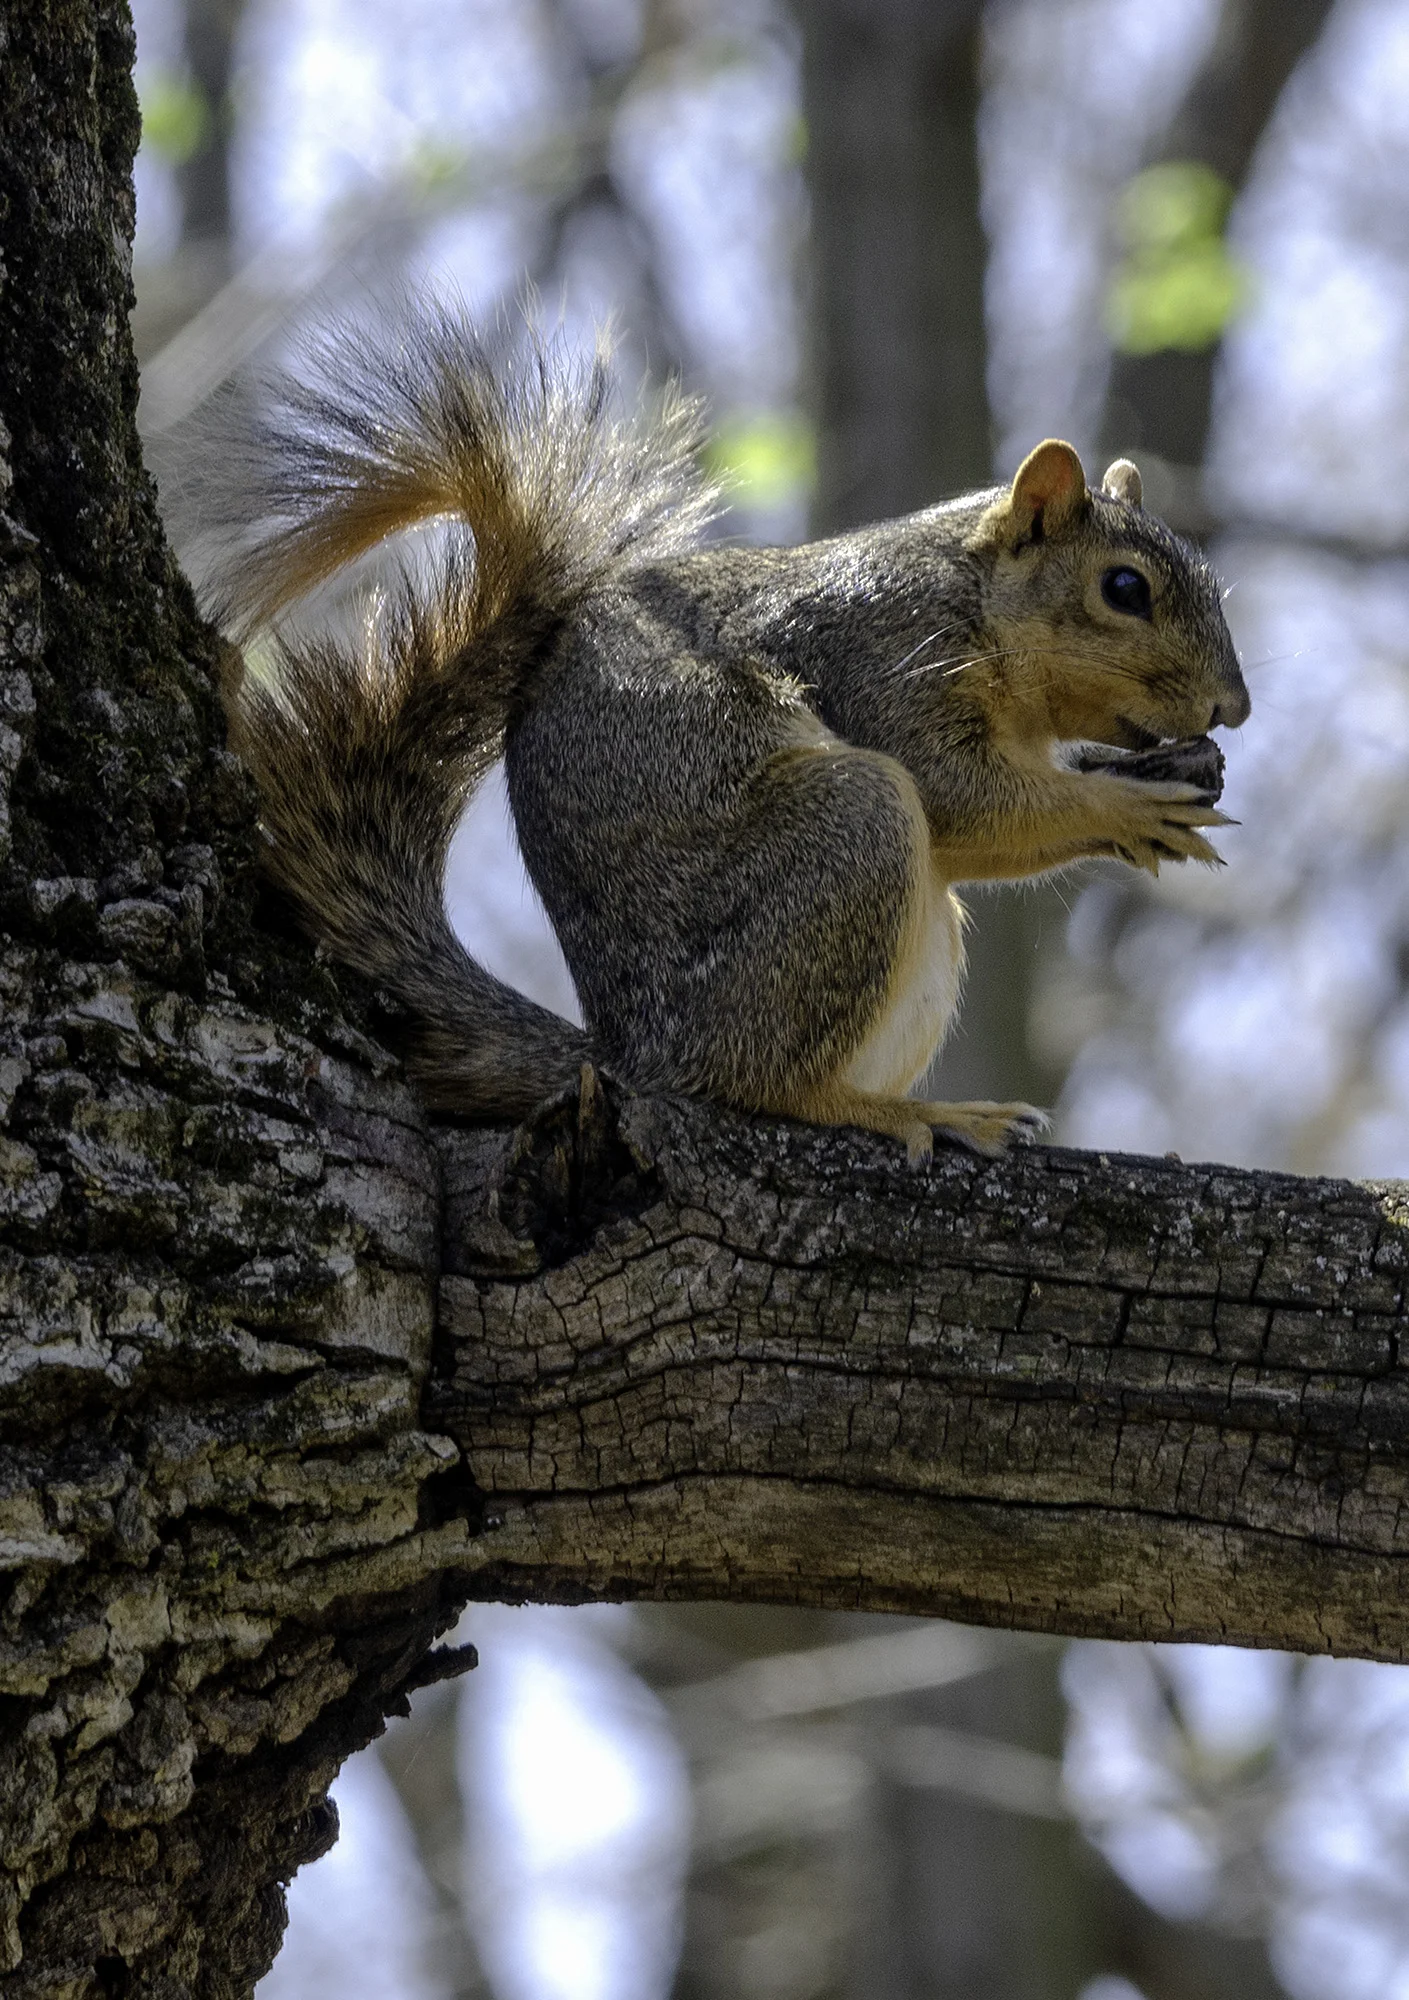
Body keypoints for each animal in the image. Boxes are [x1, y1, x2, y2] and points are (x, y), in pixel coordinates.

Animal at [205, 303, 1249, 1162]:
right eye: (1124, 589)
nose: (1231, 708)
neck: (969, 597)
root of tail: (632, 1062)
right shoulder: (882, 666)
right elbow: (959, 802)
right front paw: (1129, 807)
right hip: (848, 829)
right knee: (766, 1087)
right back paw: (912, 1114)